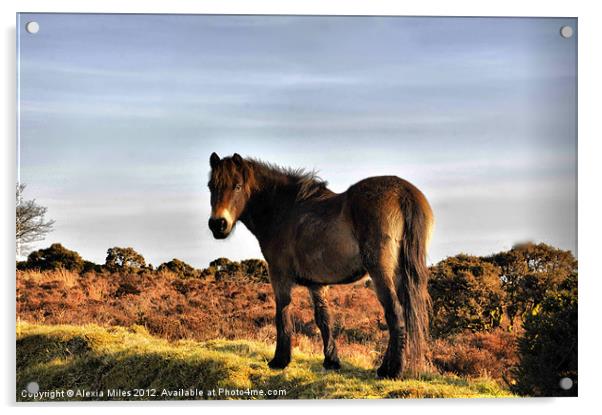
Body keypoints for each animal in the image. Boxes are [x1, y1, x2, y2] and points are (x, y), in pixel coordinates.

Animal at [206, 154, 432, 380]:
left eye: (237, 186)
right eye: (211, 186)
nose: (218, 224)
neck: (284, 210)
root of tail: (403, 192)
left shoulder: (279, 275)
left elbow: (282, 313)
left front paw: (280, 361)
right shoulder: (316, 283)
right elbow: (323, 319)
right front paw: (331, 360)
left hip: (381, 273)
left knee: (395, 314)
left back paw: (392, 370)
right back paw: (386, 367)